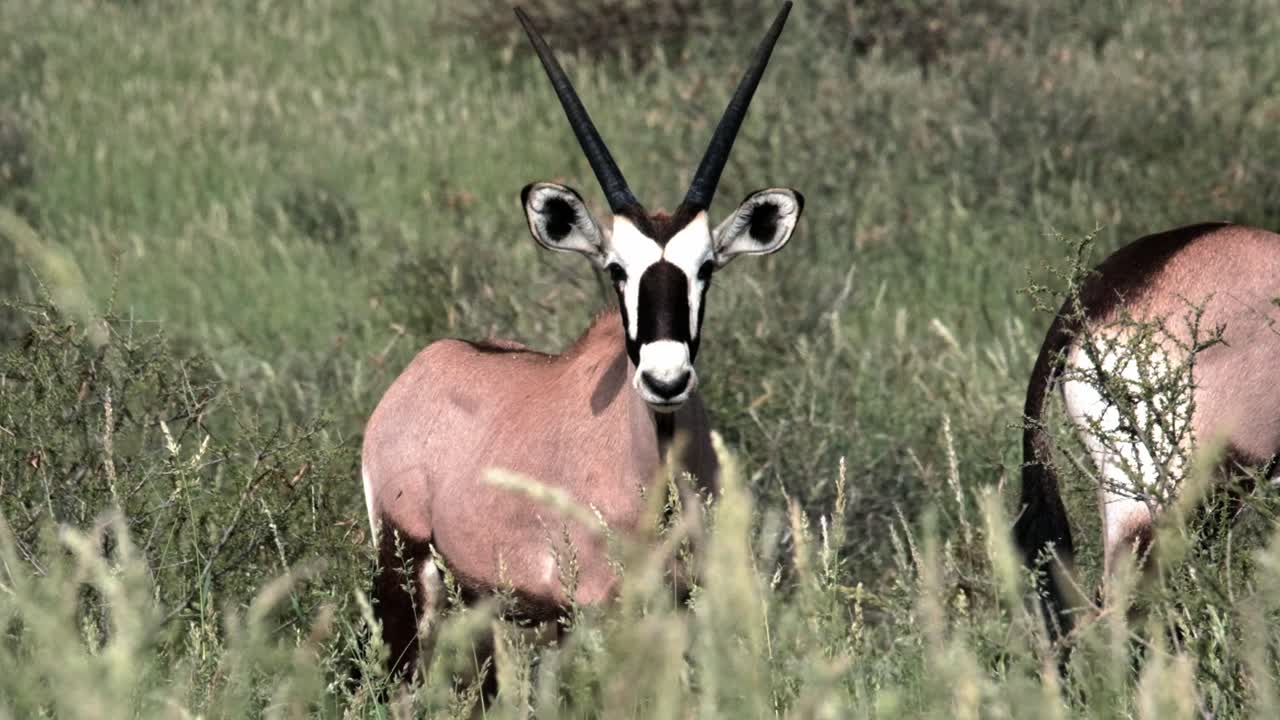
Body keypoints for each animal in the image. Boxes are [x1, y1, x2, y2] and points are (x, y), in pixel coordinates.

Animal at [361, 3, 802, 681]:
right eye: (617, 269)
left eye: (706, 268)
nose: (666, 380)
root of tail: (424, 368)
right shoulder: (594, 606)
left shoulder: (683, 600)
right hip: (406, 565)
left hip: (485, 600)